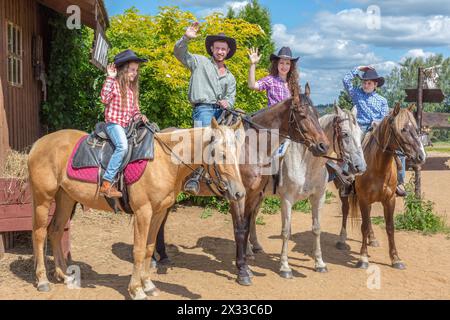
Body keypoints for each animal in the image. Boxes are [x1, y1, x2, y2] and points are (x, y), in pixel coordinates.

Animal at [29, 118, 246, 300]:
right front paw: (136, 289)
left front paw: (148, 285)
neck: (164, 161)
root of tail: (38, 144)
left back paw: (64, 275)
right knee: (39, 234)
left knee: (55, 231)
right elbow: (139, 250)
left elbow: (149, 249)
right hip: (43, 199)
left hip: (65, 198)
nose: (239, 193)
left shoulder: (158, 213)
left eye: (238, 155)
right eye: (221, 154)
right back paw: (42, 281)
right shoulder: (143, 212)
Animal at [151, 83, 330, 284]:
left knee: (160, 221)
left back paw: (163, 257)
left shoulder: (252, 195)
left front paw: (246, 266)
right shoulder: (237, 196)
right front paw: (243, 271)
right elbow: (240, 229)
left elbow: (246, 225)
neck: (252, 148)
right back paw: (154, 260)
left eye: (317, 113)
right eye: (302, 114)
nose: (323, 146)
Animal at [268, 105, 368, 278]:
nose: (360, 167)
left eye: (361, 134)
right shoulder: (286, 199)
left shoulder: (318, 198)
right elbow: (286, 232)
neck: (305, 161)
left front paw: (320, 264)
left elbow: (316, 229)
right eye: (345, 134)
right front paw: (285, 267)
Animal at [338, 104, 426, 268]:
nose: (421, 156)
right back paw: (341, 239)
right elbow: (363, 226)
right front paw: (363, 258)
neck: (379, 167)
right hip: (344, 194)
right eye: (402, 129)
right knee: (346, 211)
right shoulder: (363, 199)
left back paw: (372, 239)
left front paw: (396, 258)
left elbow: (390, 227)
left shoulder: (390, 200)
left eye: (416, 129)